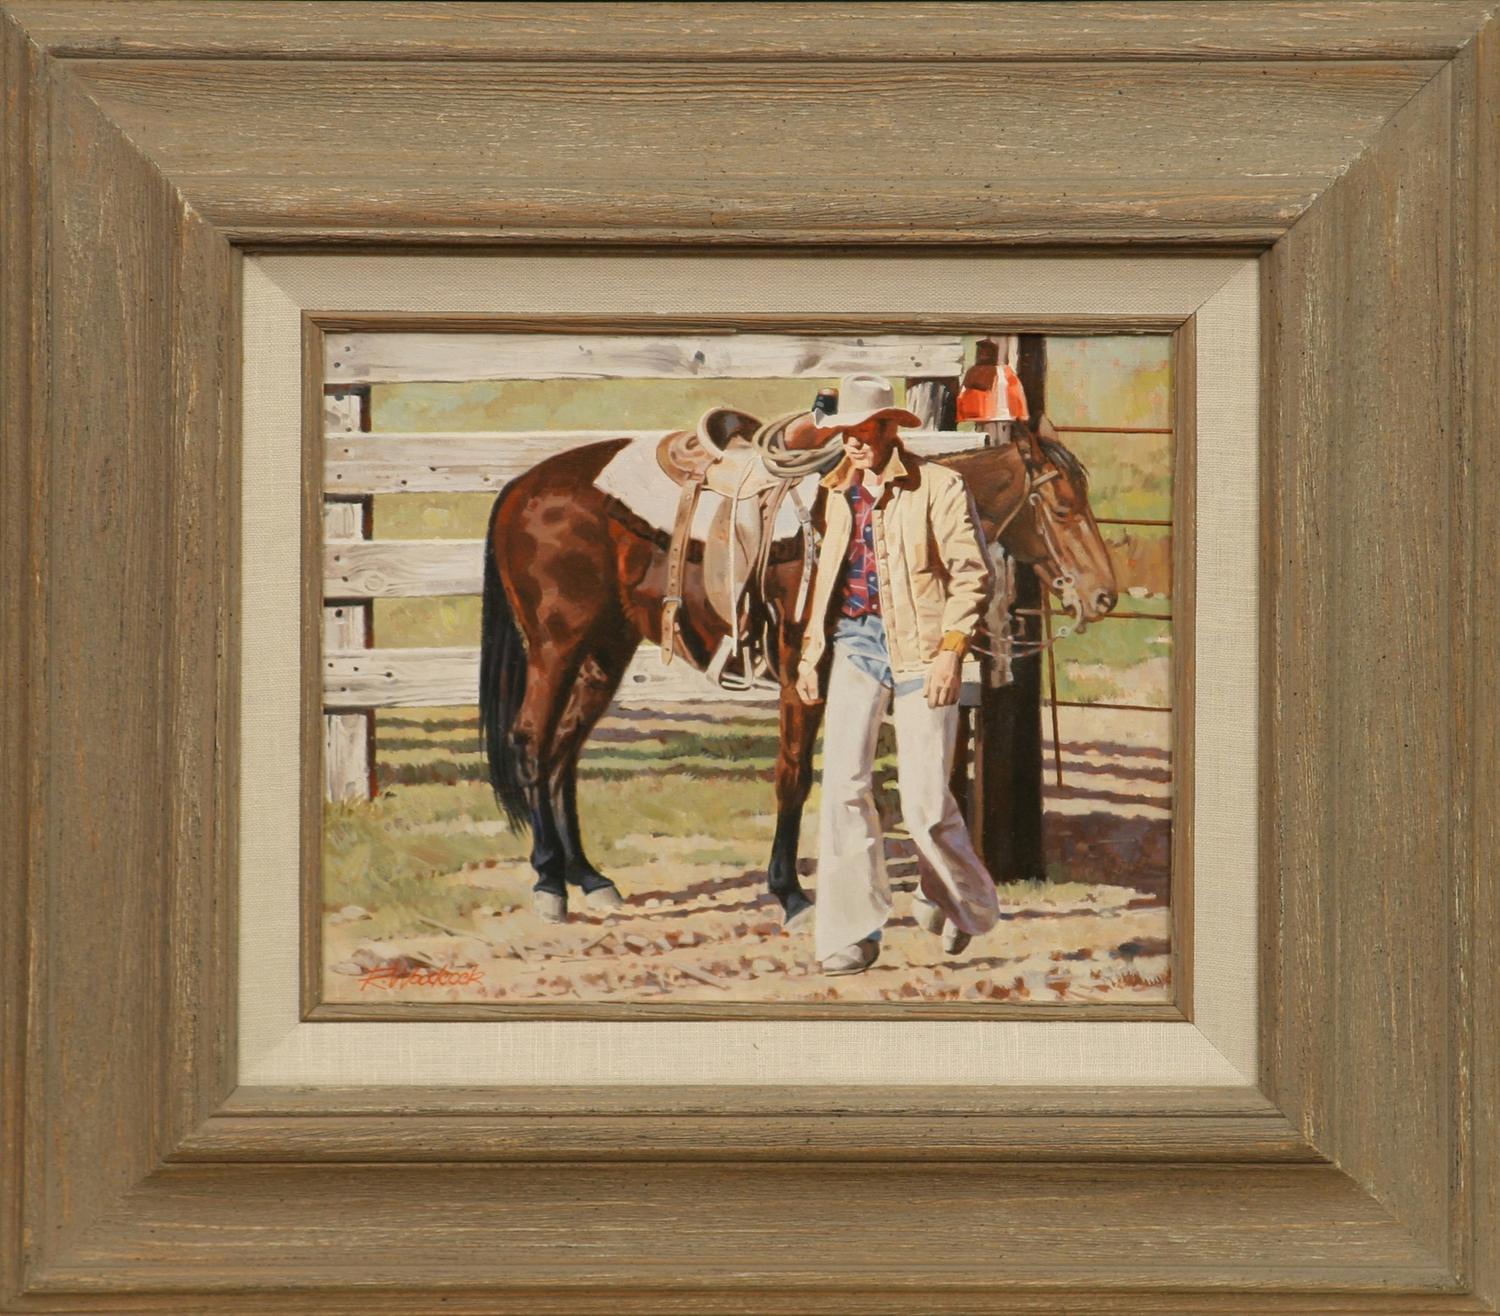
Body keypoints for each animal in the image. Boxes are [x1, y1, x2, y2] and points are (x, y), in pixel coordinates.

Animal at [478, 415, 1117, 924]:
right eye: (1063, 507)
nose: (1104, 595)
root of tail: (519, 488)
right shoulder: (799, 673)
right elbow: (794, 776)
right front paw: (789, 893)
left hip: (604, 652)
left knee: (563, 752)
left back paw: (590, 878)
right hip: (556, 648)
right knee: (532, 740)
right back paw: (549, 882)